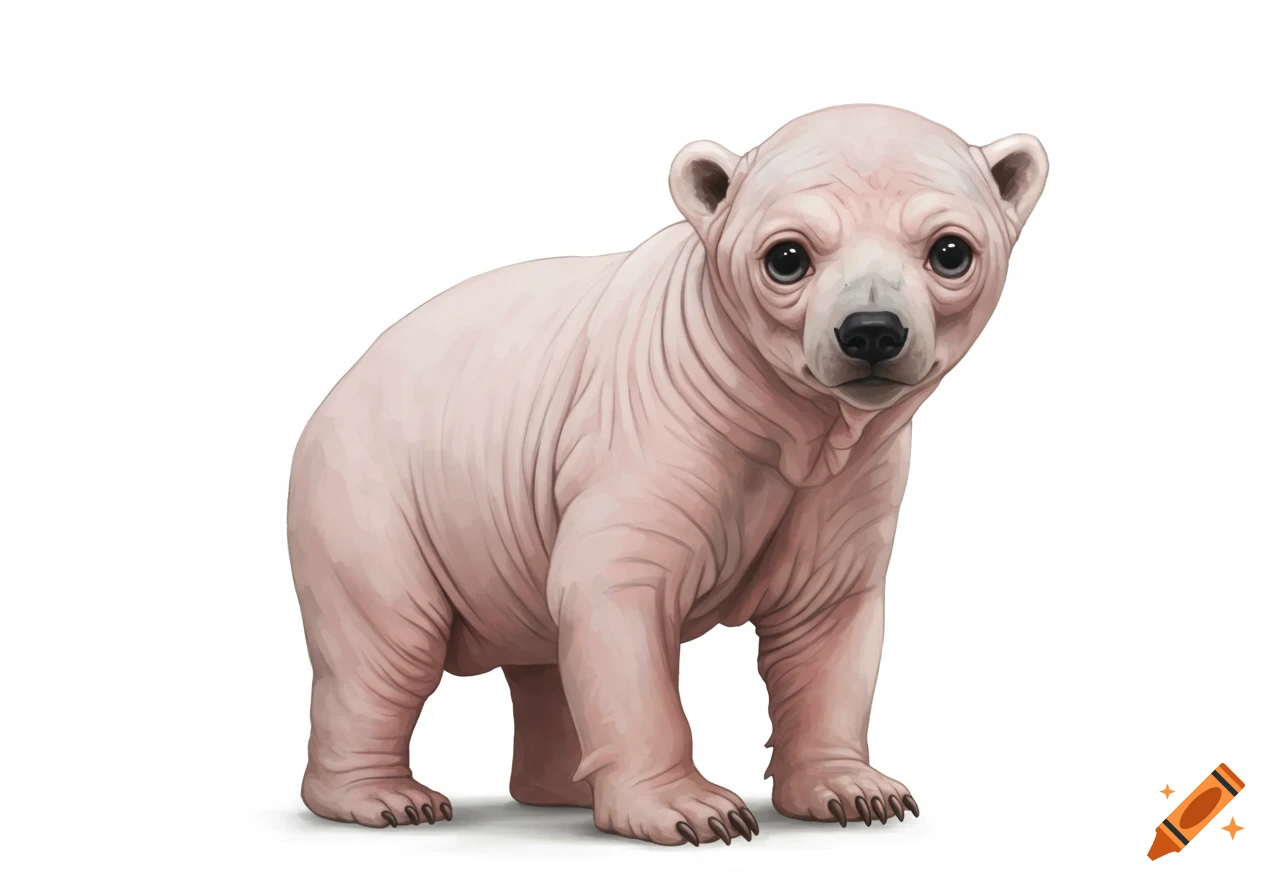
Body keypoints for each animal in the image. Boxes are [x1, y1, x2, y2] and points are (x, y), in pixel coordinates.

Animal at [287, 103, 1048, 846]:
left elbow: (826, 619)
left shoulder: (851, 476)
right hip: (371, 498)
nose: (870, 331)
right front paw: (694, 810)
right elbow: (618, 591)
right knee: (387, 642)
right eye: (787, 256)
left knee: (542, 655)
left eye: (950, 250)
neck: (777, 418)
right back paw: (386, 797)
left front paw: (858, 791)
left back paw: (564, 787)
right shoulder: (648, 428)